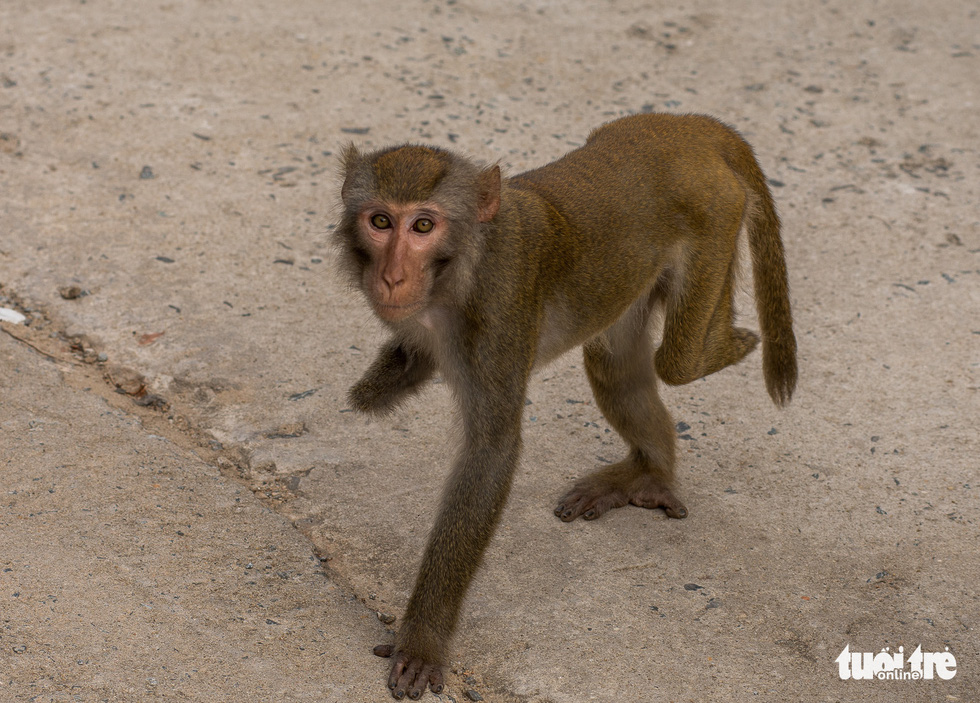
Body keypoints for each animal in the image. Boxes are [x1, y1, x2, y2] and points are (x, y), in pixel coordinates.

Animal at [336, 113, 796, 700]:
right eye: (379, 221)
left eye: (422, 226)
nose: (392, 276)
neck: (462, 266)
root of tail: (684, 126)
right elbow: (412, 359)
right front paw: (374, 389)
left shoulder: (501, 309)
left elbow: (491, 451)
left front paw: (422, 641)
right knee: (614, 363)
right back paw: (649, 474)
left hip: (716, 215)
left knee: (678, 361)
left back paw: (731, 342)